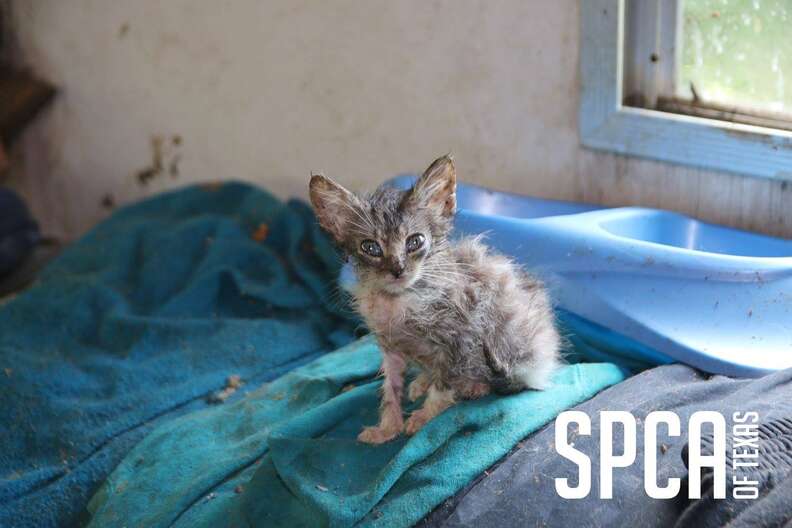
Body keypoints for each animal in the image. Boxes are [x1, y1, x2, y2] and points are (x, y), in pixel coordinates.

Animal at [306, 155, 560, 444]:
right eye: (370, 248)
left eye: (414, 241)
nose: (397, 270)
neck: (398, 301)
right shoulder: (390, 347)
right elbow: (390, 389)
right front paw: (388, 427)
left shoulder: (461, 337)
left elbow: (444, 383)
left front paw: (425, 416)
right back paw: (423, 381)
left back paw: (473, 386)